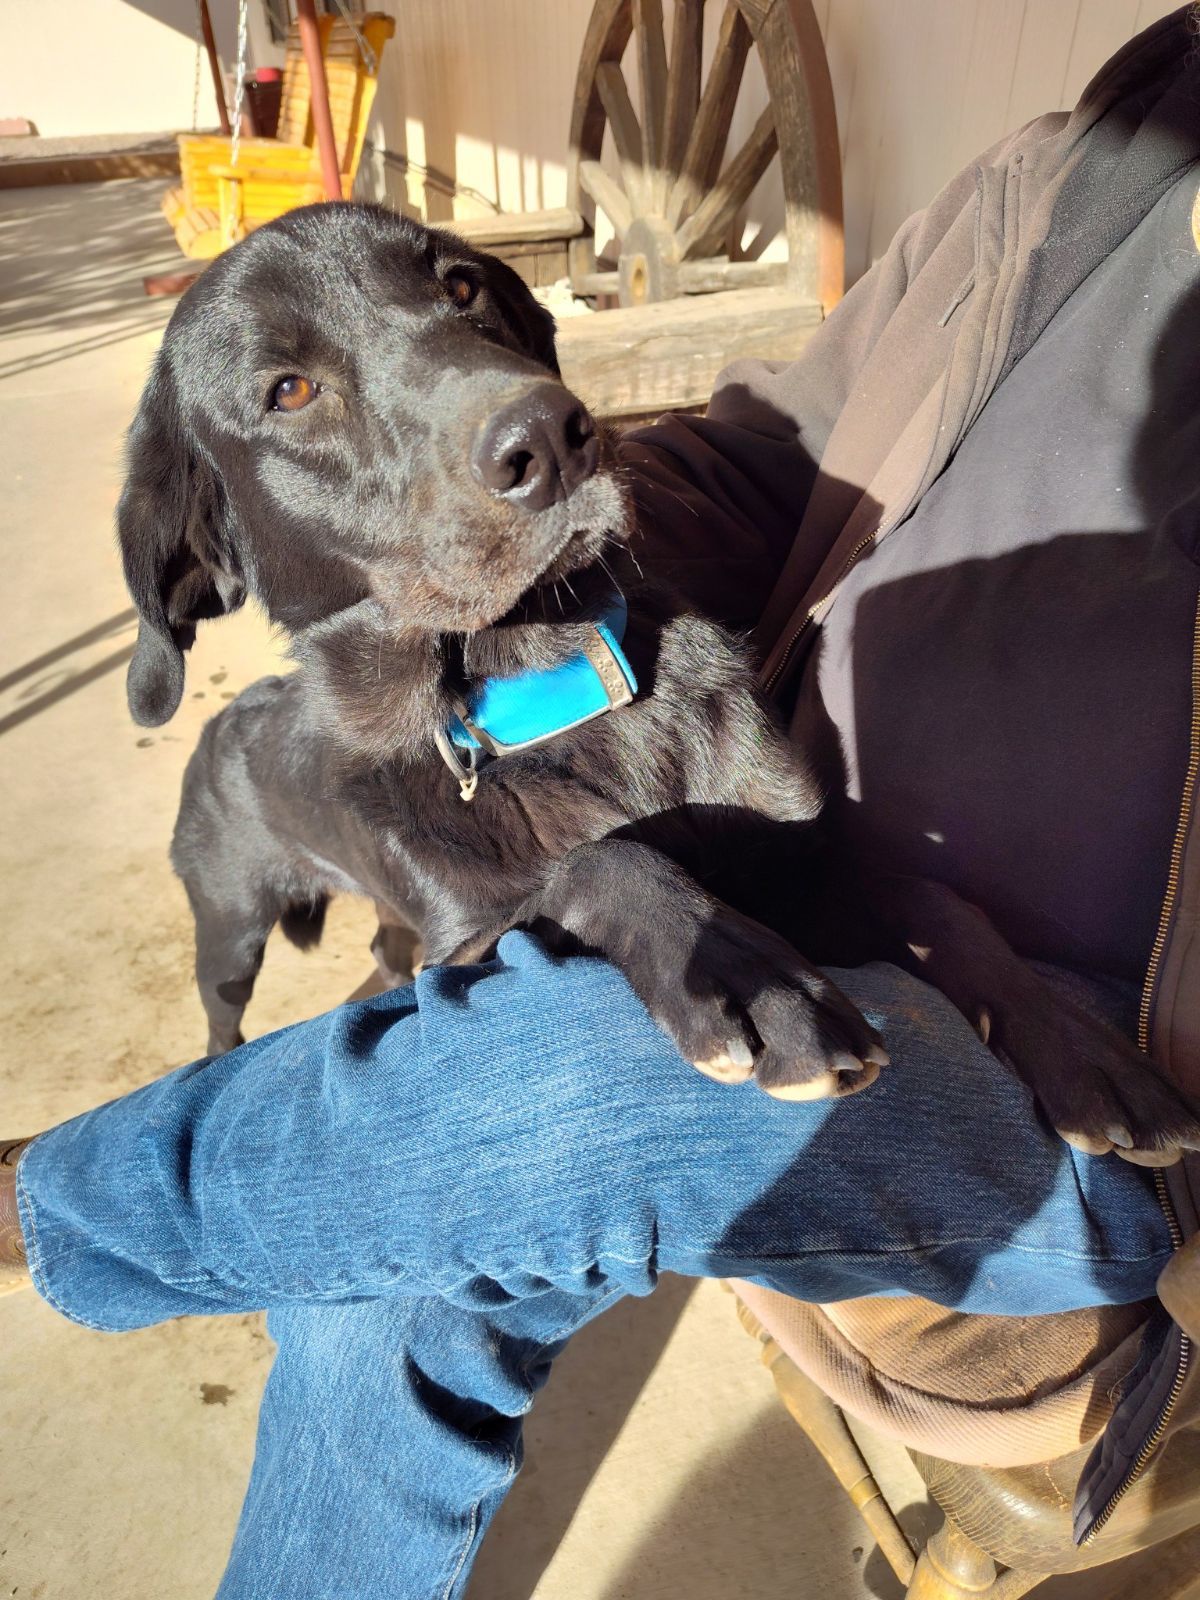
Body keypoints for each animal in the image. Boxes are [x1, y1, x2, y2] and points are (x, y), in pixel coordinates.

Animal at [117, 200, 1200, 1152]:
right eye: (288, 391)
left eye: (461, 285)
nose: (551, 435)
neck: (549, 693)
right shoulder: (468, 945)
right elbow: (596, 862)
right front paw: (747, 973)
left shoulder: (795, 857)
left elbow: (935, 900)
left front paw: (1085, 1051)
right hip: (230, 927)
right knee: (224, 1014)